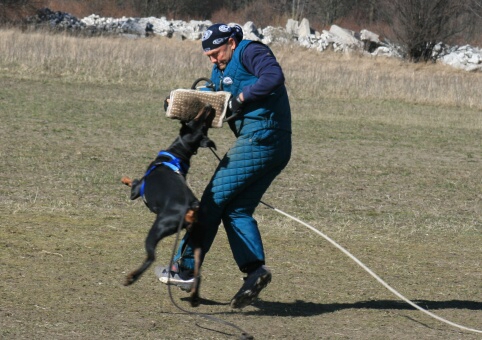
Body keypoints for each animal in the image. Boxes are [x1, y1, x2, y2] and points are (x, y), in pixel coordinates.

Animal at [120, 105, 215, 304]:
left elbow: (133, 182)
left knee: (151, 257)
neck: (177, 155)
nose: (209, 106)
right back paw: (194, 297)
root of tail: (191, 207)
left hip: (157, 230)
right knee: (198, 269)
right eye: (202, 124)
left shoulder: (136, 191)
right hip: (197, 238)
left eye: (196, 120)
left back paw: (131, 278)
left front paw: (124, 179)